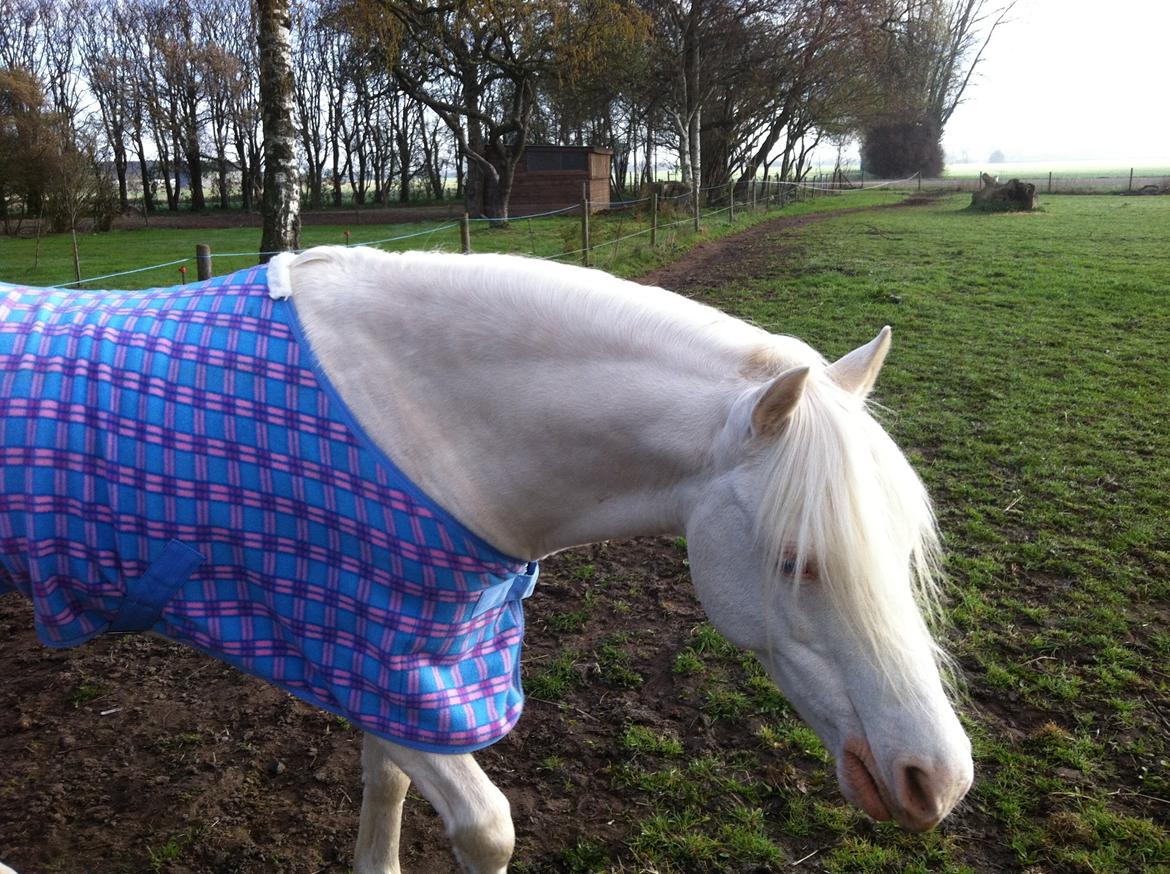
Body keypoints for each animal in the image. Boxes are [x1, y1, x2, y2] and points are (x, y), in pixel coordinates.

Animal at [0, 246, 972, 873]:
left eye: (903, 548)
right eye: (796, 561)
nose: (940, 779)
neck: (433, 427)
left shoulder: (390, 661)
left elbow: (383, 782)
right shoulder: (358, 653)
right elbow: (486, 828)